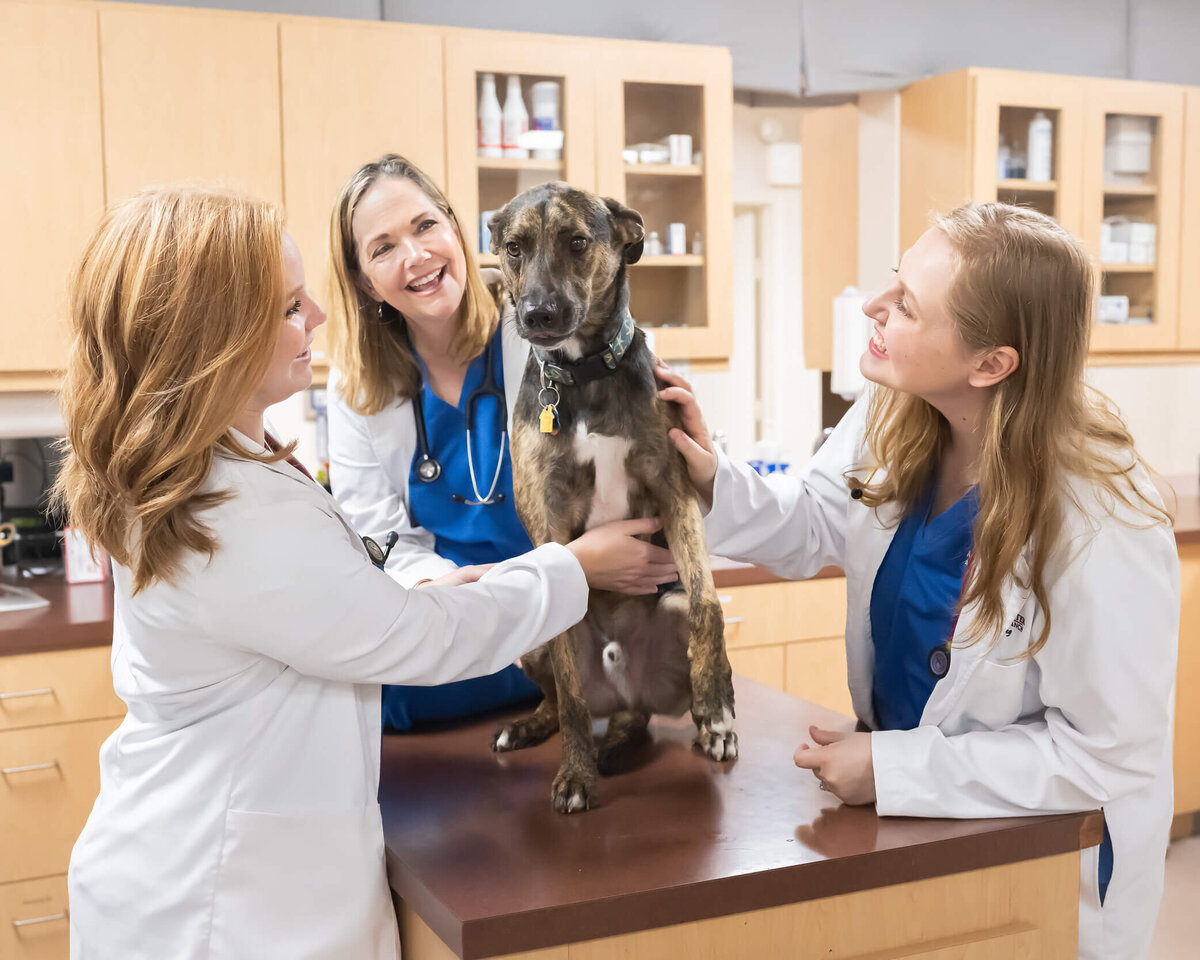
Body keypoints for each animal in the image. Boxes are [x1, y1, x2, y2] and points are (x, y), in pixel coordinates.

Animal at [484, 180, 729, 811]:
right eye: (514, 248)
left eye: (576, 242)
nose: (537, 314)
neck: (584, 374)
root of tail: (622, 693)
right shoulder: (547, 517)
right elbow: (572, 699)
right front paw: (576, 774)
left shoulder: (674, 486)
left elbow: (708, 603)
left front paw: (717, 705)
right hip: (535, 638)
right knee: (563, 699)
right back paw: (536, 728)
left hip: (662, 623)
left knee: (647, 702)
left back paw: (700, 725)